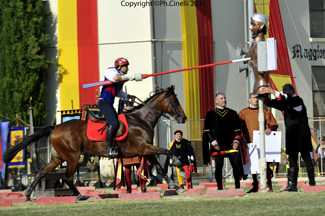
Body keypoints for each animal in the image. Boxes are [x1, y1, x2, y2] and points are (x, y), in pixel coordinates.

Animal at [3, 85, 187, 202]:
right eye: (174, 101)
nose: (183, 118)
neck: (141, 120)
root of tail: (56, 127)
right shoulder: (145, 148)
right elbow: (167, 152)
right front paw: (180, 168)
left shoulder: (145, 152)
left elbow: (159, 168)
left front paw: (176, 186)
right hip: (72, 156)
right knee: (67, 178)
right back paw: (81, 196)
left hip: (58, 158)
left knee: (42, 172)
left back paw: (28, 193)